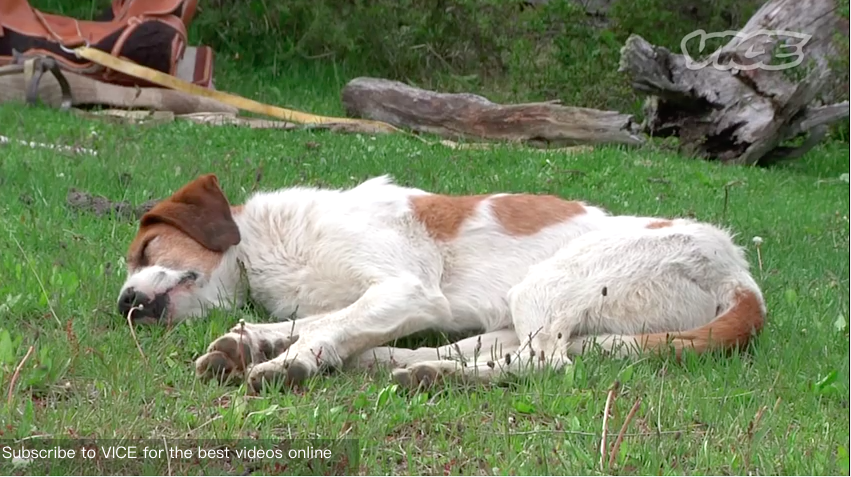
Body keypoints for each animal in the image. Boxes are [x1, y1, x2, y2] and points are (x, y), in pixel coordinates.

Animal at [118, 173, 764, 388]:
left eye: (146, 247)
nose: (125, 303)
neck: (270, 247)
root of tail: (739, 273)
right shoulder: (385, 301)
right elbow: (320, 319)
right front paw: (249, 340)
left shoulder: (407, 290)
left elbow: (323, 327)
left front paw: (289, 361)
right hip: (523, 317)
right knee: (493, 353)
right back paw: (395, 364)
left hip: (548, 285)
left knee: (546, 365)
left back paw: (432, 376)